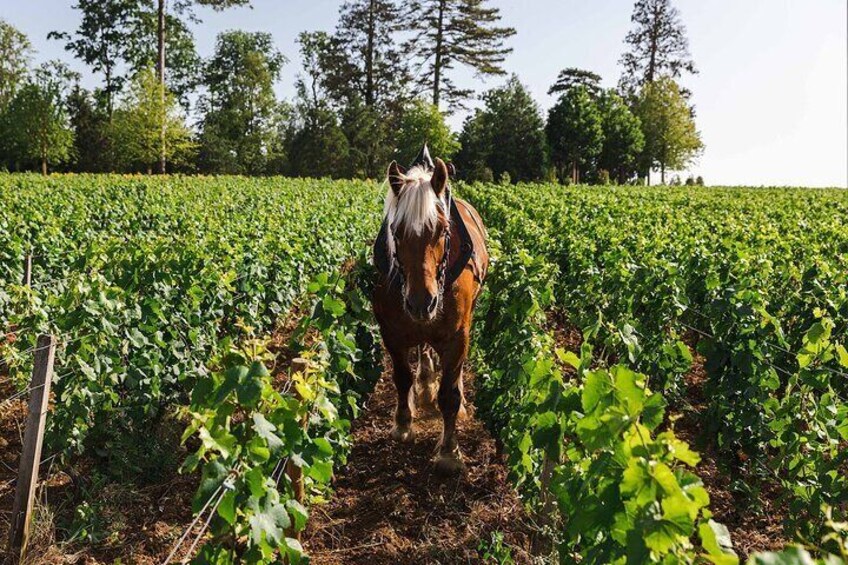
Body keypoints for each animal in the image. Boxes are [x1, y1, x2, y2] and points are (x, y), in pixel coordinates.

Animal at [372, 149, 490, 472]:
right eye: (396, 231)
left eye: (442, 229)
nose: (421, 302)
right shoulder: (391, 331)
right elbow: (402, 377)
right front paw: (403, 424)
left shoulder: (458, 335)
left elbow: (450, 394)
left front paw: (449, 452)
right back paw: (425, 382)